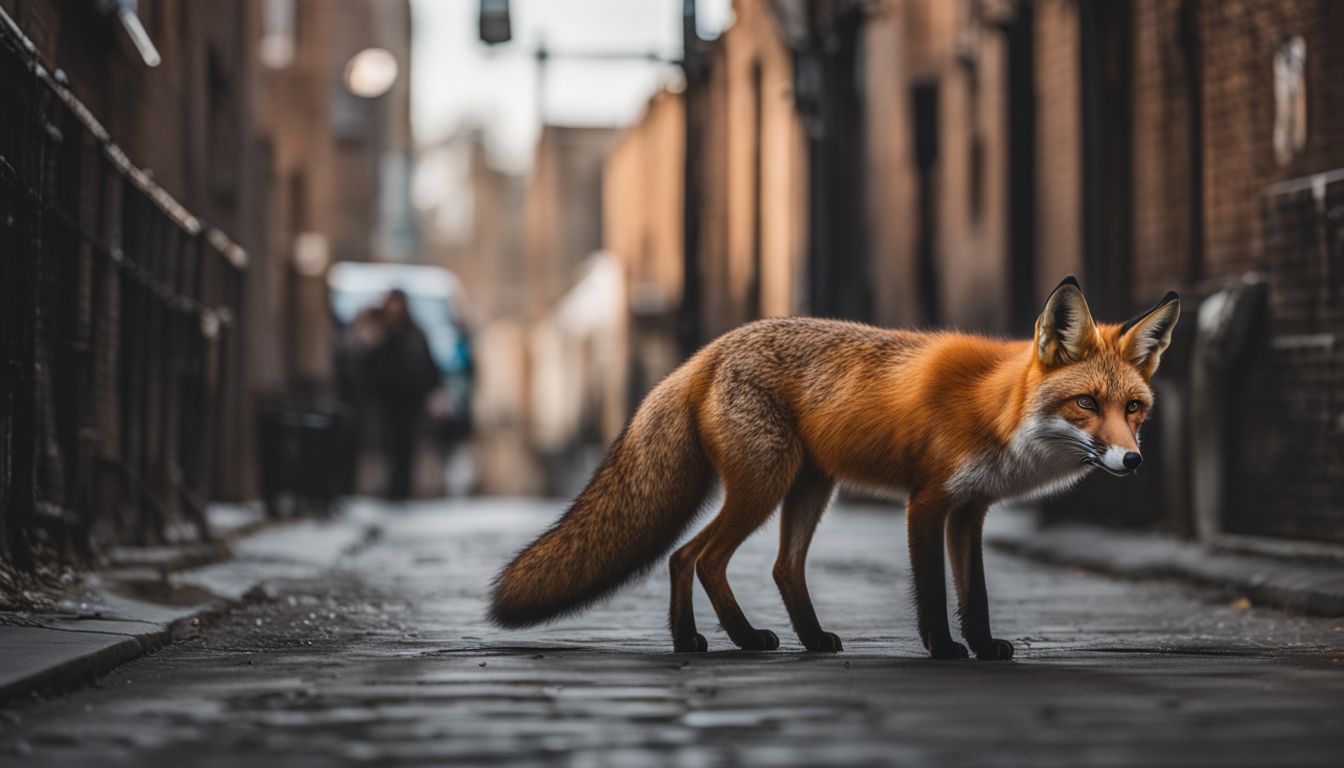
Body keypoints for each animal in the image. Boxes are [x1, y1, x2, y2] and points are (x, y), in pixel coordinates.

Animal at [491, 277, 1177, 661]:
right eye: (1085, 403)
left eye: (1133, 409)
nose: (1133, 458)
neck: (997, 409)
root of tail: (708, 351)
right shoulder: (927, 501)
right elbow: (934, 592)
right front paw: (944, 650)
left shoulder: (970, 510)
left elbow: (975, 594)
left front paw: (982, 648)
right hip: (764, 485)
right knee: (694, 556)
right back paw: (727, 640)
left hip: (810, 488)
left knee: (775, 566)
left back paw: (781, 640)